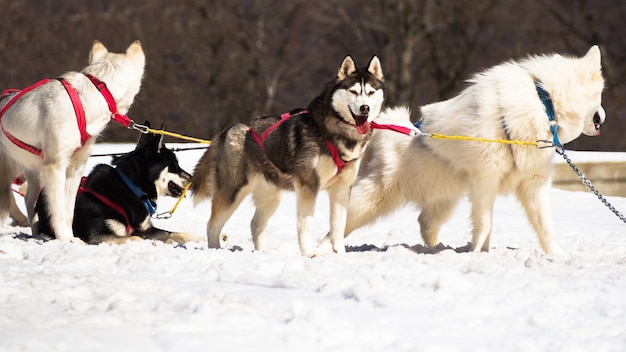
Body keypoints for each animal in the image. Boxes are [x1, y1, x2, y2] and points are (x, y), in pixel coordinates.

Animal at [0, 40, 144, 241]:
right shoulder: (55, 166)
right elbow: (58, 209)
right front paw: (63, 238)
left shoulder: (75, 168)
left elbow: (68, 211)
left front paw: (71, 239)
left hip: (34, 171)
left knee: (29, 200)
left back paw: (37, 233)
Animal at [320, 45, 604, 254]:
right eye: (600, 94)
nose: (603, 116)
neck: (544, 102)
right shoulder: (485, 180)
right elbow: (484, 224)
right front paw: (476, 253)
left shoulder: (531, 183)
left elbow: (545, 226)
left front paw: (556, 256)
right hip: (375, 198)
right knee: (341, 223)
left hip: (445, 197)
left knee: (425, 222)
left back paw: (437, 249)